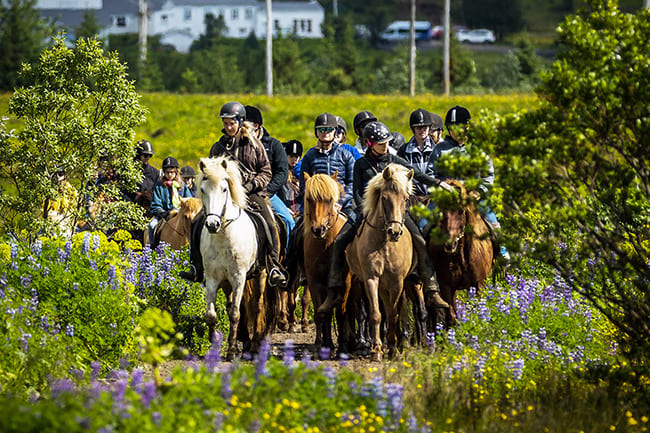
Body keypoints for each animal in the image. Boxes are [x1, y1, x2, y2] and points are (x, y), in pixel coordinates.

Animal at [192, 157, 274, 360]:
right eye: (203, 190)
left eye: (224, 189)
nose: (212, 224)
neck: (223, 236)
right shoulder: (212, 278)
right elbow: (211, 315)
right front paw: (214, 346)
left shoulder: (239, 277)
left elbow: (236, 314)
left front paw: (231, 351)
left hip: (260, 274)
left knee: (256, 306)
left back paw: (254, 345)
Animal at [302, 170, 350, 352]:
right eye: (309, 198)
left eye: (330, 199)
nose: (318, 229)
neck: (325, 245)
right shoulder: (315, 282)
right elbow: (320, 313)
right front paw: (322, 344)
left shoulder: (345, 283)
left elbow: (341, 312)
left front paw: (341, 345)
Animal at [344, 164, 416, 360]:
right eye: (384, 198)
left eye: (405, 198)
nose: (395, 232)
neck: (384, 244)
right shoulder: (371, 278)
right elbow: (376, 314)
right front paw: (377, 349)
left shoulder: (397, 282)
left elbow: (392, 314)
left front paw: (392, 348)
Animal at [426, 179, 492, 328]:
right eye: (441, 210)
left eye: (461, 210)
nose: (449, 243)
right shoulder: (446, 286)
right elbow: (451, 317)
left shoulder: (478, 284)